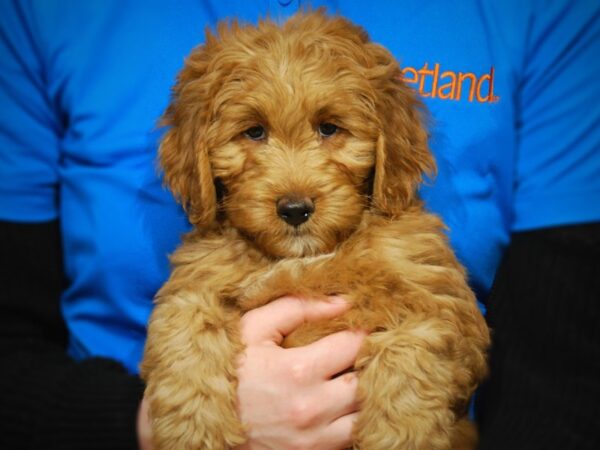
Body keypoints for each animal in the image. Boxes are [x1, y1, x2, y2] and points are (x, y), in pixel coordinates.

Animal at [143, 11, 490, 450]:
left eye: (329, 128)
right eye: (254, 131)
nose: (294, 209)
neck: (306, 257)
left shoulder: (437, 304)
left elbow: (408, 371)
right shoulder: (195, 284)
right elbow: (184, 339)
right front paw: (195, 434)